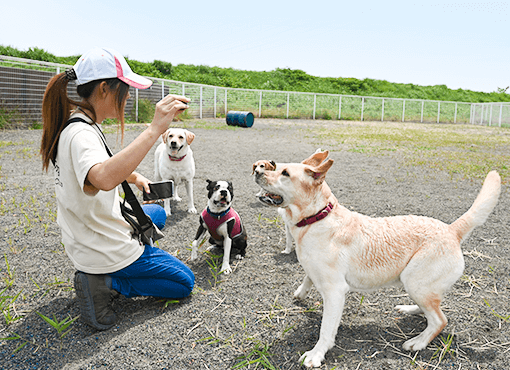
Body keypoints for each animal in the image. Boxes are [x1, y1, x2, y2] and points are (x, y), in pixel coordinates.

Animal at [253, 150, 500, 368]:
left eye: (285, 173)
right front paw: (300, 293)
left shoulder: (335, 291)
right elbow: (307, 278)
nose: (257, 171)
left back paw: (418, 342)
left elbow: (326, 329)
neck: (317, 216)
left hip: (414, 280)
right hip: (420, 286)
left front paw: (316, 354)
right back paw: (410, 309)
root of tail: (452, 230)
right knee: (432, 308)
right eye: (276, 166)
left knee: (440, 320)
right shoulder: (315, 270)